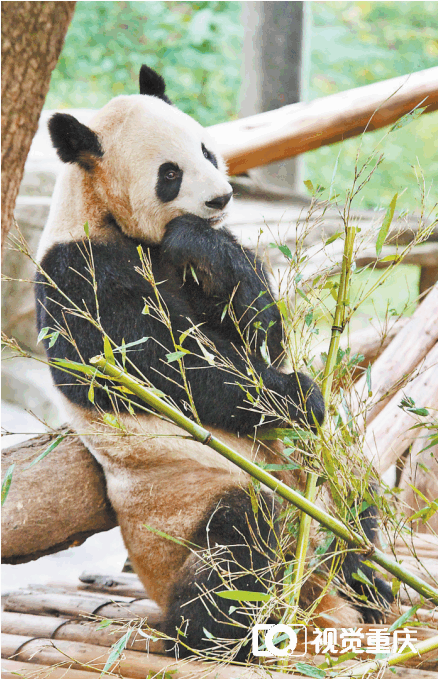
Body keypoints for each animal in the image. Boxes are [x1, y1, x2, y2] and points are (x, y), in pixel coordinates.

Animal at [36, 66, 394, 660]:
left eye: (207, 148)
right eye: (170, 173)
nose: (222, 197)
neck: (102, 210)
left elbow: (258, 326)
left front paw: (206, 245)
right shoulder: (76, 271)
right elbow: (154, 367)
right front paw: (299, 395)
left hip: (314, 485)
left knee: (352, 497)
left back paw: (370, 587)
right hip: (182, 513)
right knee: (236, 546)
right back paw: (222, 630)